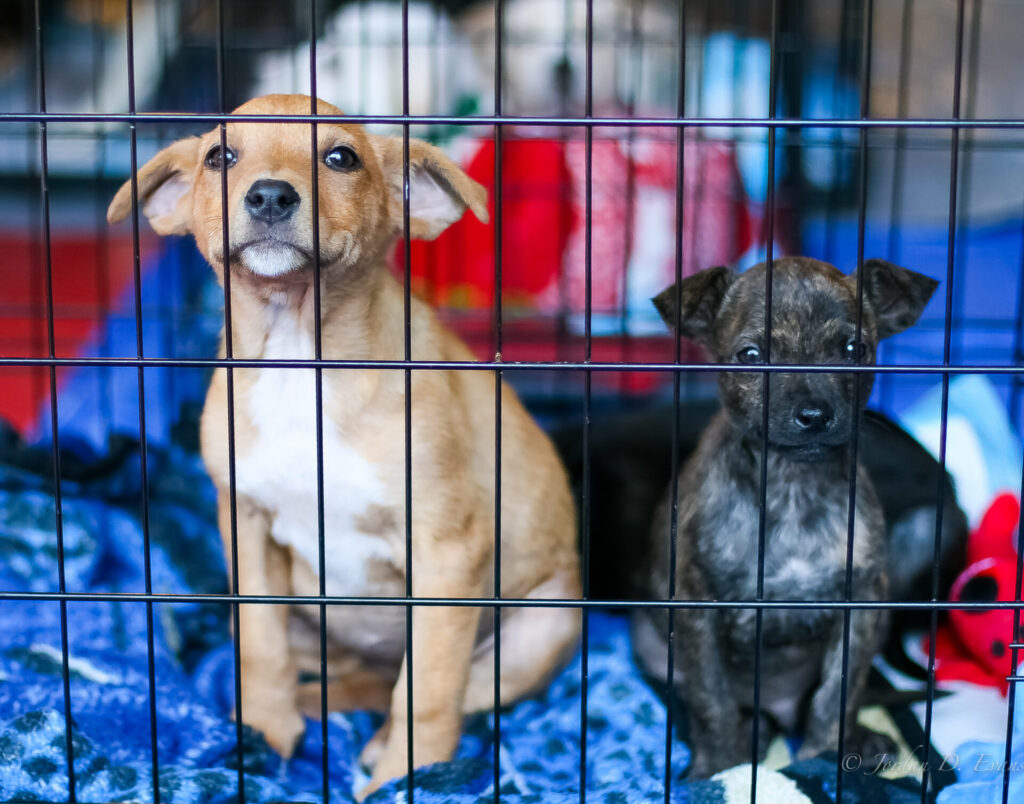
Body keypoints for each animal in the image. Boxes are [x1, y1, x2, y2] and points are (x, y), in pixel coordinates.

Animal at [110, 95, 585, 794]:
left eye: (341, 158)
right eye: (220, 156)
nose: (270, 196)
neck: (297, 356)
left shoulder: (448, 552)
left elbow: (430, 688)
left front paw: (408, 776)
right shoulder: (246, 529)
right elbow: (260, 649)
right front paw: (265, 735)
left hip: (543, 628)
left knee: (441, 687)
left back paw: (381, 742)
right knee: (350, 676)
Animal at [634, 254, 937, 774]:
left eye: (854, 349)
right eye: (750, 356)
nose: (814, 415)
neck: (793, 486)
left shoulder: (860, 607)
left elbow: (837, 695)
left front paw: (823, 758)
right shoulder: (697, 608)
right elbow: (710, 698)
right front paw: (718, 768)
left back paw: (863, 743)